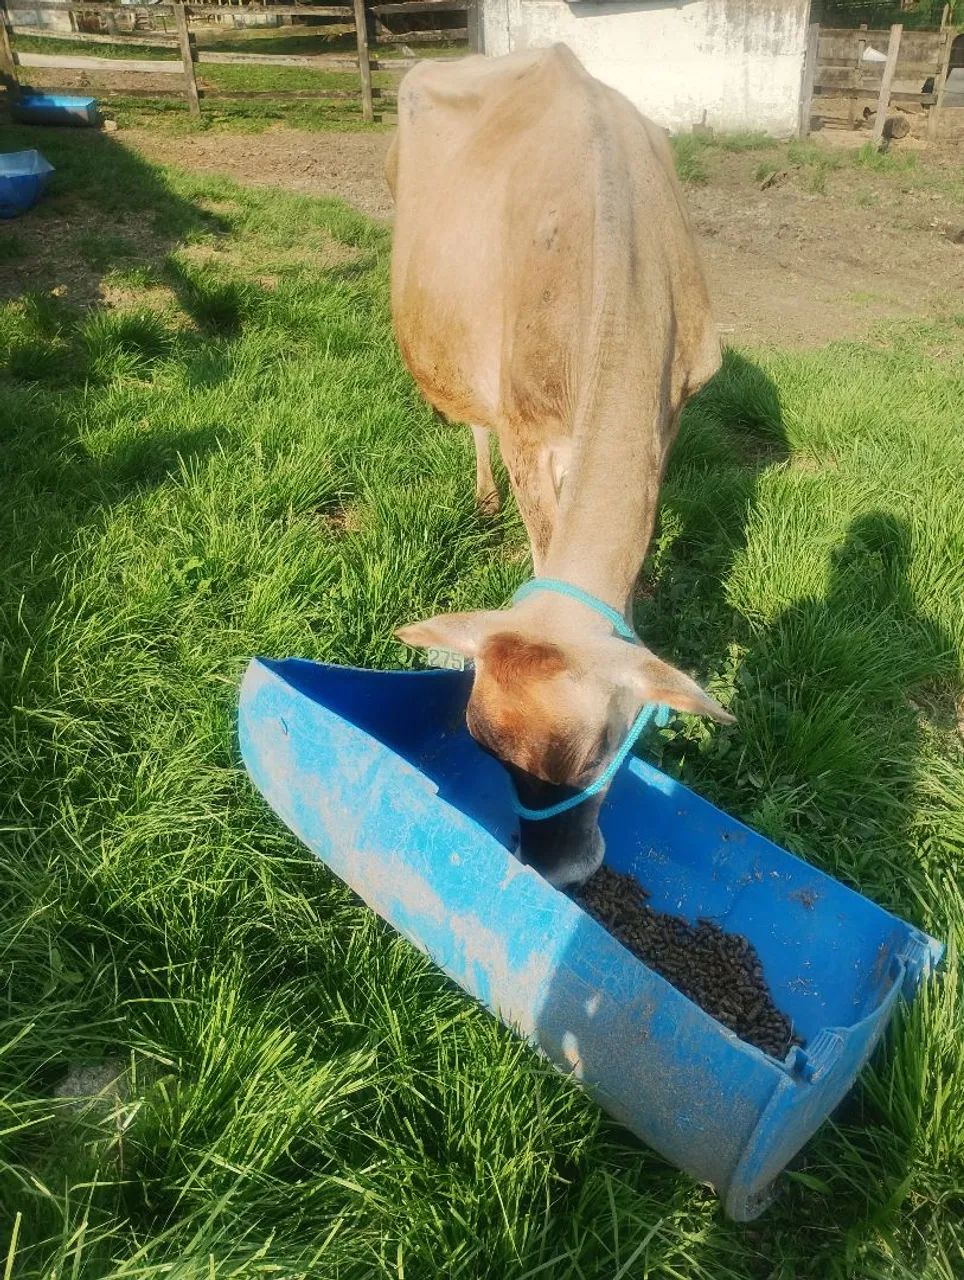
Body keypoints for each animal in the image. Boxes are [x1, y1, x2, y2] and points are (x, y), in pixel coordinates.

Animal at [386, 44, 733, 889]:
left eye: (600, 750)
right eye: (483, 749)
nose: (556, 872)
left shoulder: (671, 408)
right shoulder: (525, 425)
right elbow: (544, 538)